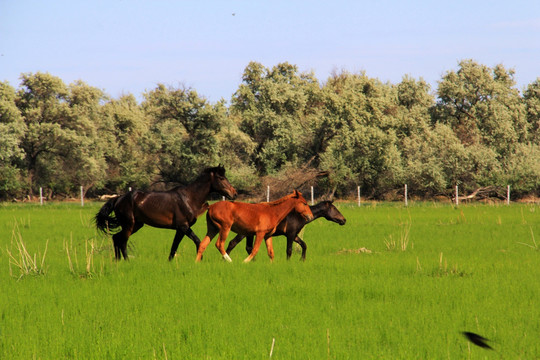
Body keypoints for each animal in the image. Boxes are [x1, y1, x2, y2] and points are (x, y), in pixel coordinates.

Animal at [94, 166, 236, 262]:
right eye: (221, 178)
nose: (234, 193)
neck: (189, 198)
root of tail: (118, 198)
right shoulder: (183, 227)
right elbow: (196, 241)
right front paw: (199, 259)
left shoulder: (181, 229)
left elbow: (175, 246)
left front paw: (170, 261)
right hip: (129, 225)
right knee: (123, 241)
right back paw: (127, 260)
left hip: (136, 225)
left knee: (116, 238)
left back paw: (118, 260)